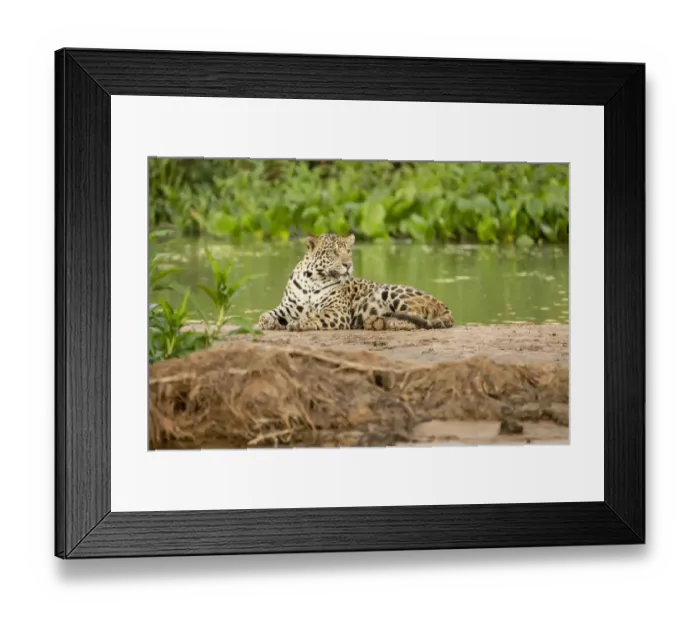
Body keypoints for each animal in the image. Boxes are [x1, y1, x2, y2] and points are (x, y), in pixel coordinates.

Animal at [255, 233, 454, 332]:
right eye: (333, 252)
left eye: (348, 251)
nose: (348, 264)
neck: (313, 279)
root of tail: (442, 304)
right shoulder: (287, 307)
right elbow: (265, 315)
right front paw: (267, 323)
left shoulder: (336, 312)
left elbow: (315, 316)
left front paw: (299, 323)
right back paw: (376, 322)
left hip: (391, 291)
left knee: (417, 318)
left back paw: (381, 322)